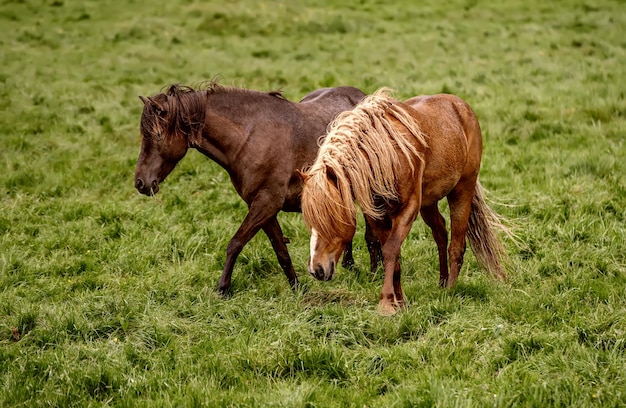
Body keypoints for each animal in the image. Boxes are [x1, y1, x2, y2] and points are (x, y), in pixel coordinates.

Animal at [135, 82, 380, 294]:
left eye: (156, 135)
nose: (140, 182)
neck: (249, 138)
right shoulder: (263, 208)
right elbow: (280, 250)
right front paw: (297, 287)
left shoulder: (266, 204)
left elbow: (235, 243)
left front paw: (223, 288)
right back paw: (349, 264)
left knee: (372, 234)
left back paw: (374, 272)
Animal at [300, 89, 510, 316]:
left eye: (330, 218)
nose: (316, 270)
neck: (385, 156)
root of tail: (460, 105)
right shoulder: (377, 216)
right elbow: (393, 253)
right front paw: (400, 301)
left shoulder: (407, 210)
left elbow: (391, 250)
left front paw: (386, 302)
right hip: (429, 203)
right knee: (440, 233)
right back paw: (442, 282)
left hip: (462, 191)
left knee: (457, 245)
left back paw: (450, 290)